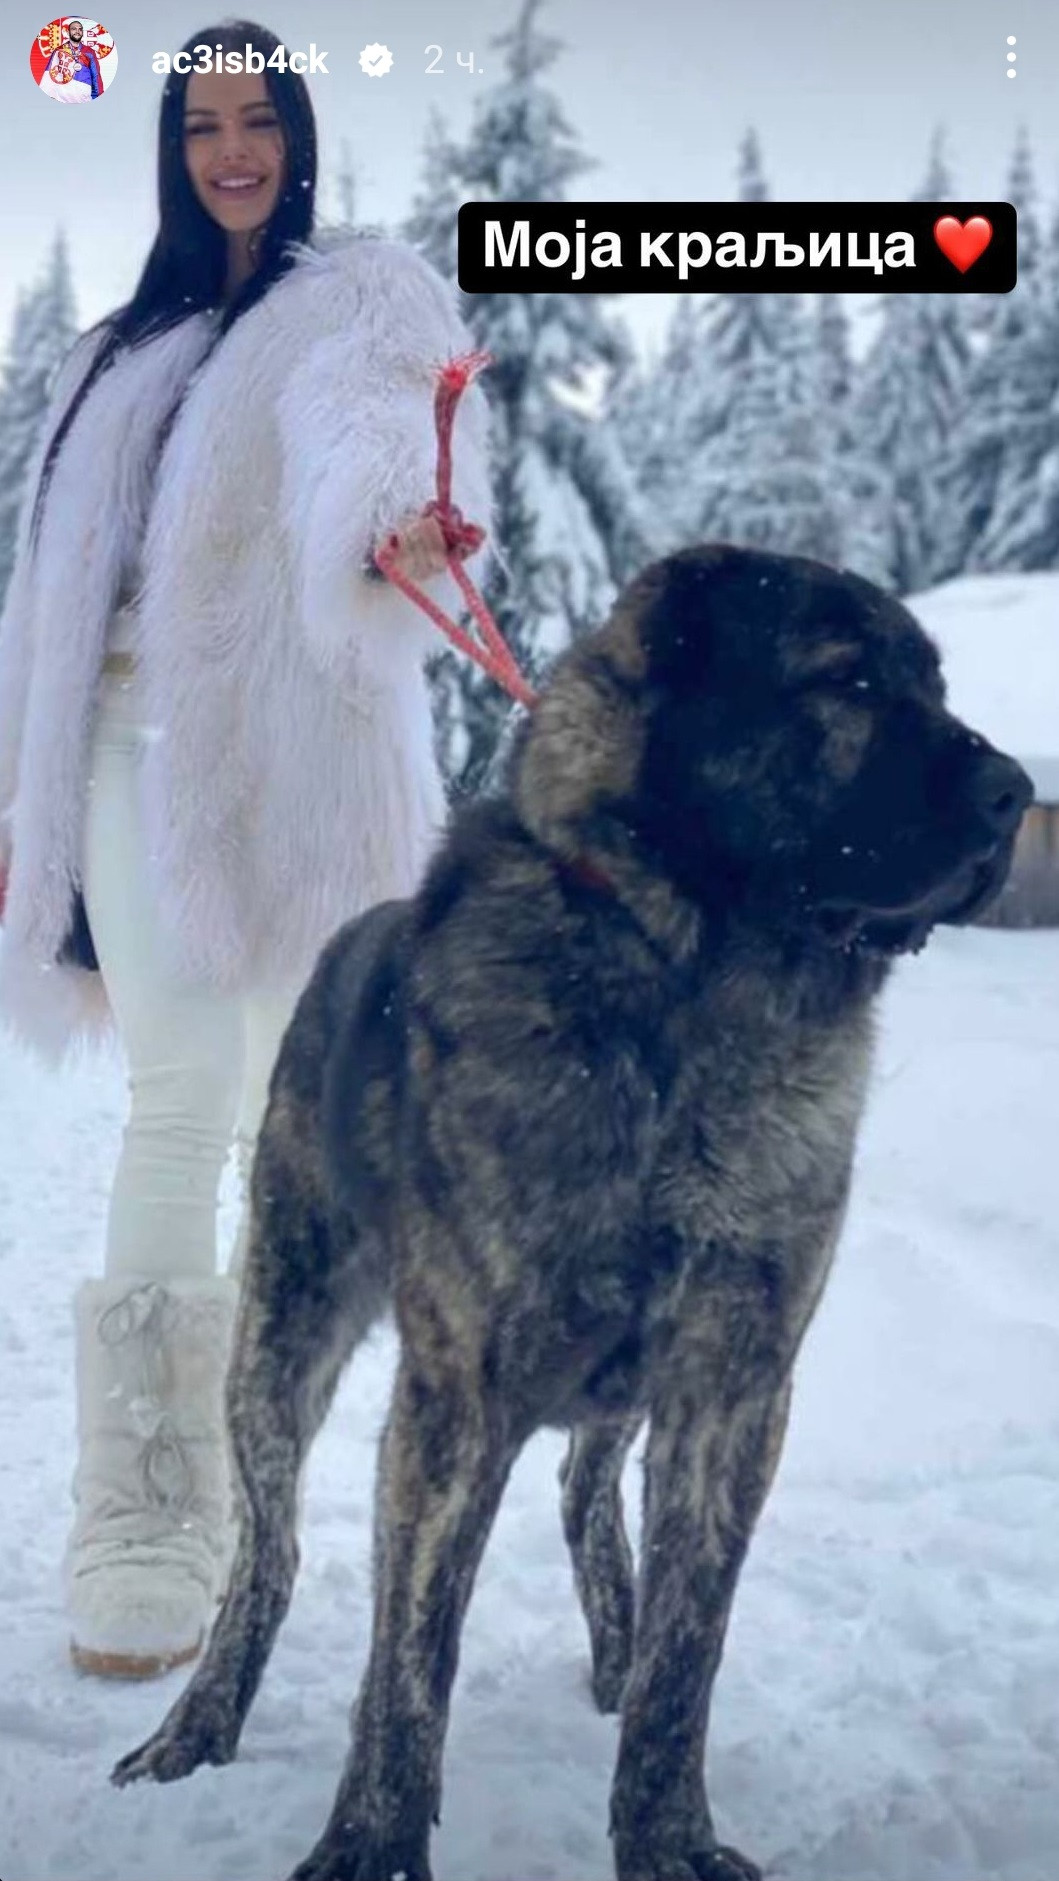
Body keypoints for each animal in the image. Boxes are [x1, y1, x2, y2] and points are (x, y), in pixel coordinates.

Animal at [111, 545, 1031, 1881]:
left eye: (936, 685)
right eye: (849, 682)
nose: (1018, 793)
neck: (695, 987)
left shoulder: (732, 1391)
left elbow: (687, 1664)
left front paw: (668, 1838)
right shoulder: (455, 1402)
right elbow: (410, 1662)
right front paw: (372, 1843)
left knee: (586, 1498)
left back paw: (616, 1644)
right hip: (281, 1343)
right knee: (267, 1555)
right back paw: (197, 1726)